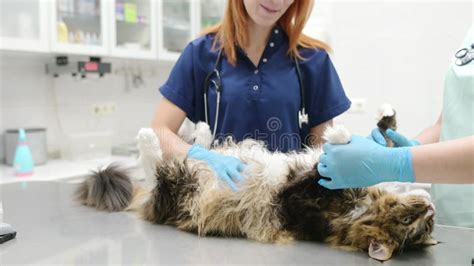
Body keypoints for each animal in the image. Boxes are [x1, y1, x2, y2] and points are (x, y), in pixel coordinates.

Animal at [77, 121, 436, 262]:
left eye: (411, 225)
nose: (429, 208)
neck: (358, 210)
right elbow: (381, 143)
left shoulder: (298, 196)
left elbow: (322, 167)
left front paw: (341, 140)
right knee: (194, 152)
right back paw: (201, 132)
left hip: (182, 190)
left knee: (156, 172)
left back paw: (150, 138)